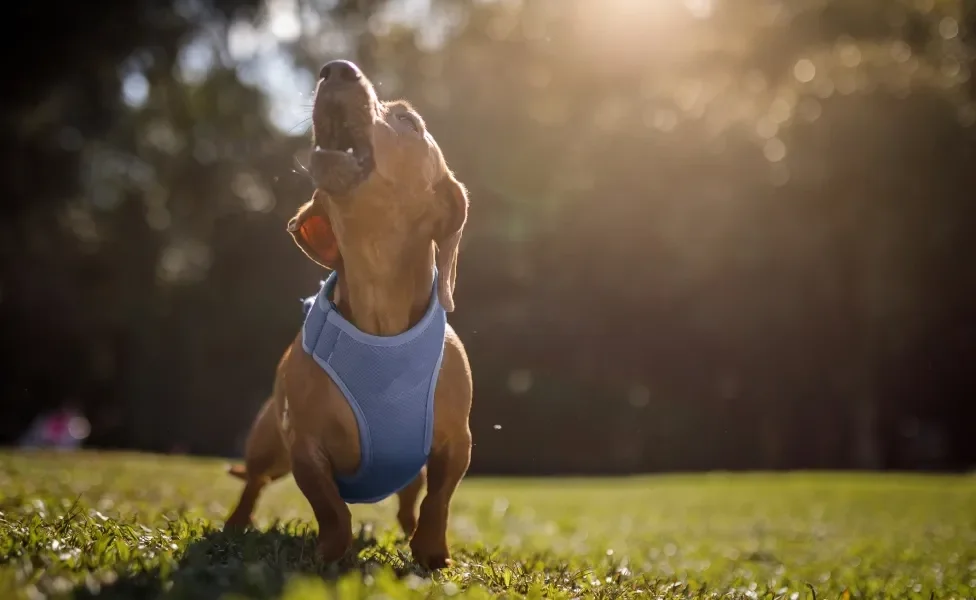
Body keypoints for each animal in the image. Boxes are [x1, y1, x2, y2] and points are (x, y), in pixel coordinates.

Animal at [226, 61, 476, 572]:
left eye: (409, 121)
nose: (336, 69)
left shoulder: (455, 443)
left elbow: (438, 500)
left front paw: (432, 554)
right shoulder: (303, 445)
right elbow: (331, 508)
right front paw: (328, 554)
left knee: (409, 501)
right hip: (268, 444)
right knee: (253, 482)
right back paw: (237, 524)